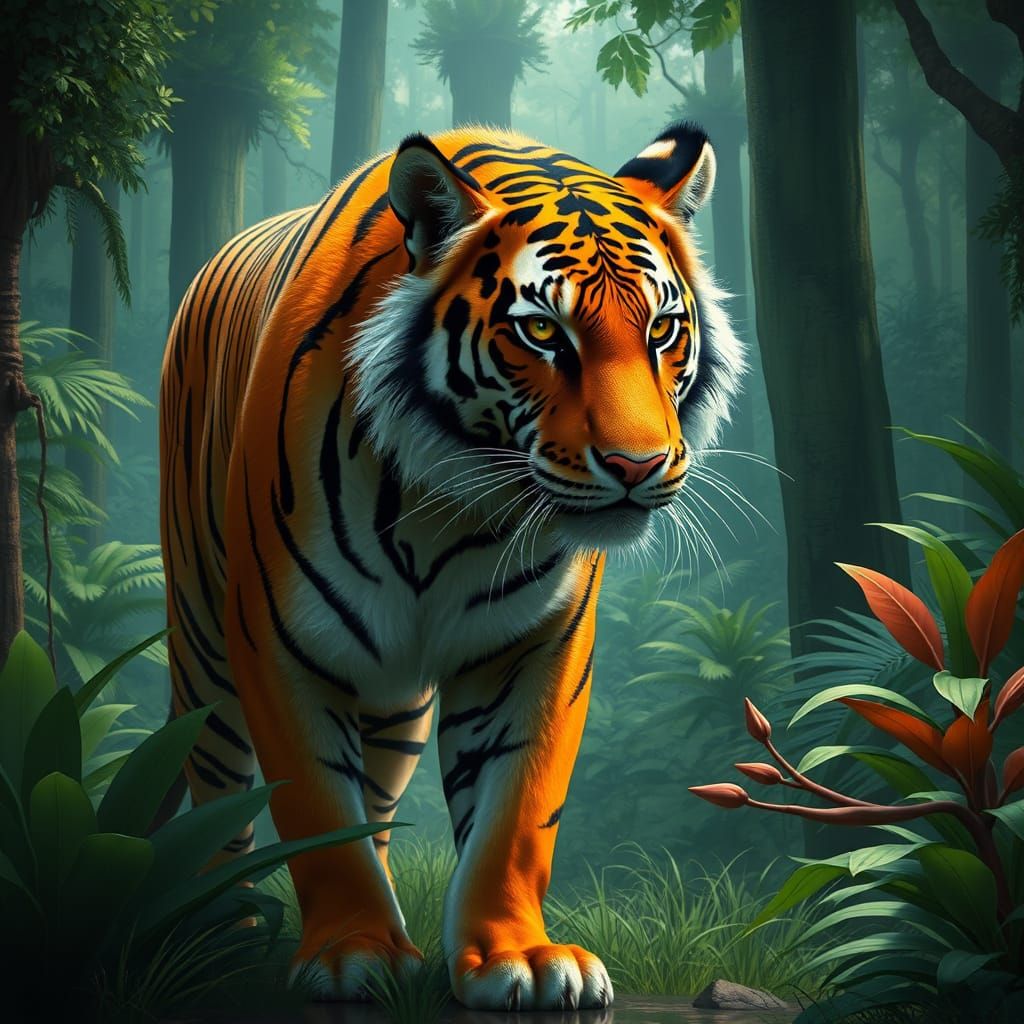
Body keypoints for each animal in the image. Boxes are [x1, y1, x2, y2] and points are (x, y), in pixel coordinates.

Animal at [157, 120, 743, 1011]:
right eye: (544, 333)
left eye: (661, 331)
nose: (637, 465)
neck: (452, 504)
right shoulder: (279, 640)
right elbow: (317, 808)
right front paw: (352, 952)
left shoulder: (535, 648)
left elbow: (515, 815)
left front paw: (520, 958)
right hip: (203, 642)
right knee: (220, 787)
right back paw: (225, 933)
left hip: (392, 698)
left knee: (376, 794)